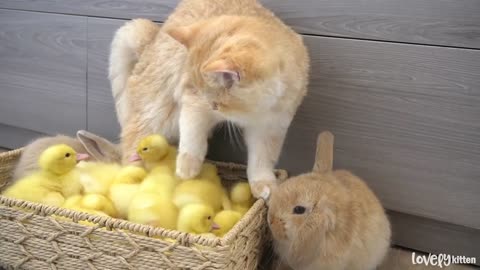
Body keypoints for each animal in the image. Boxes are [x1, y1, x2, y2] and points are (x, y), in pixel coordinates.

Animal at [109, 0, 310, 198]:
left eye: (217, 105)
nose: (211, 106)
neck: (255, 111)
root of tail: (152, 41)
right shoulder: (192, 100)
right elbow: (192, 135)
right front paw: (187, 166)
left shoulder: (271, 127)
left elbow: (262, 159)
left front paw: (264, 185)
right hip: (157, 115)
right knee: (132, 144)